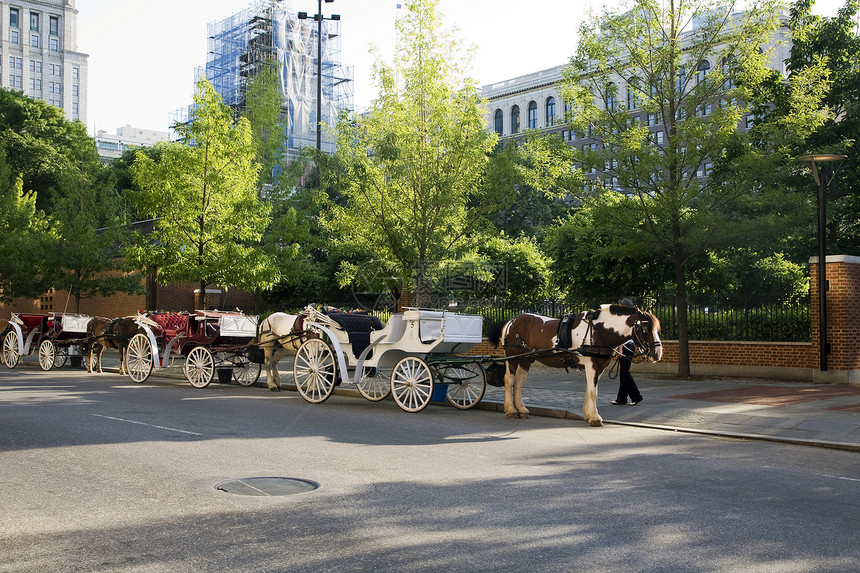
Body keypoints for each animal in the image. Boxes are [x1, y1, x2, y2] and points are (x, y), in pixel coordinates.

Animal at [488, 304, 660, 424]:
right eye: (645, 329)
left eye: (657, 329)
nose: (658, 353)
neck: (597, 331)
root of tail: (512, 320)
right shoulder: (592, 366)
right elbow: (593, 391)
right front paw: (595, 417)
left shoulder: (598, 367)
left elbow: (590, 389)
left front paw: (588, 414)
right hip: (513, 356)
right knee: (509, 380)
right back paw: (511, 410)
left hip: (525, 359)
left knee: (518, 383)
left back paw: (521, 409)